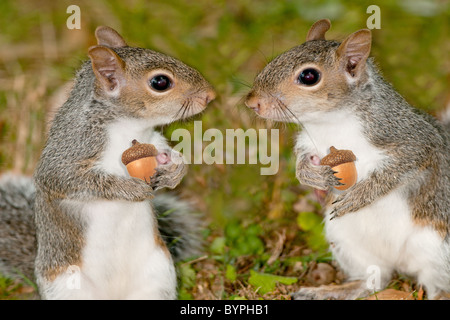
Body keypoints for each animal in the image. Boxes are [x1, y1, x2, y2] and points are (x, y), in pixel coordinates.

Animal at [0, 25, 216, 300]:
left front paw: (175, 170)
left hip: (158, 276)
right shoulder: (71, 148)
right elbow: (67, 178)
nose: (210, 95)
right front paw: (130, 189)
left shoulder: (151, 139)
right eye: (160, 82)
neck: (127, 126)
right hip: (67, 286)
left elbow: (165, 150)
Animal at [246, 19, 450, 300]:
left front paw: (361, 195)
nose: (252, 102)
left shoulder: (410, 137)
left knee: (435, 286)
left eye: (309, 77)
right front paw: (312, 176)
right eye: (277, 58)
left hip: (438, 252)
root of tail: (401, 264)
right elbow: (302, 162)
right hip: (346, 242)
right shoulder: (310, 142)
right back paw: (325, 292)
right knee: (374, 282)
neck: (330, 122)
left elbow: (404, 165)